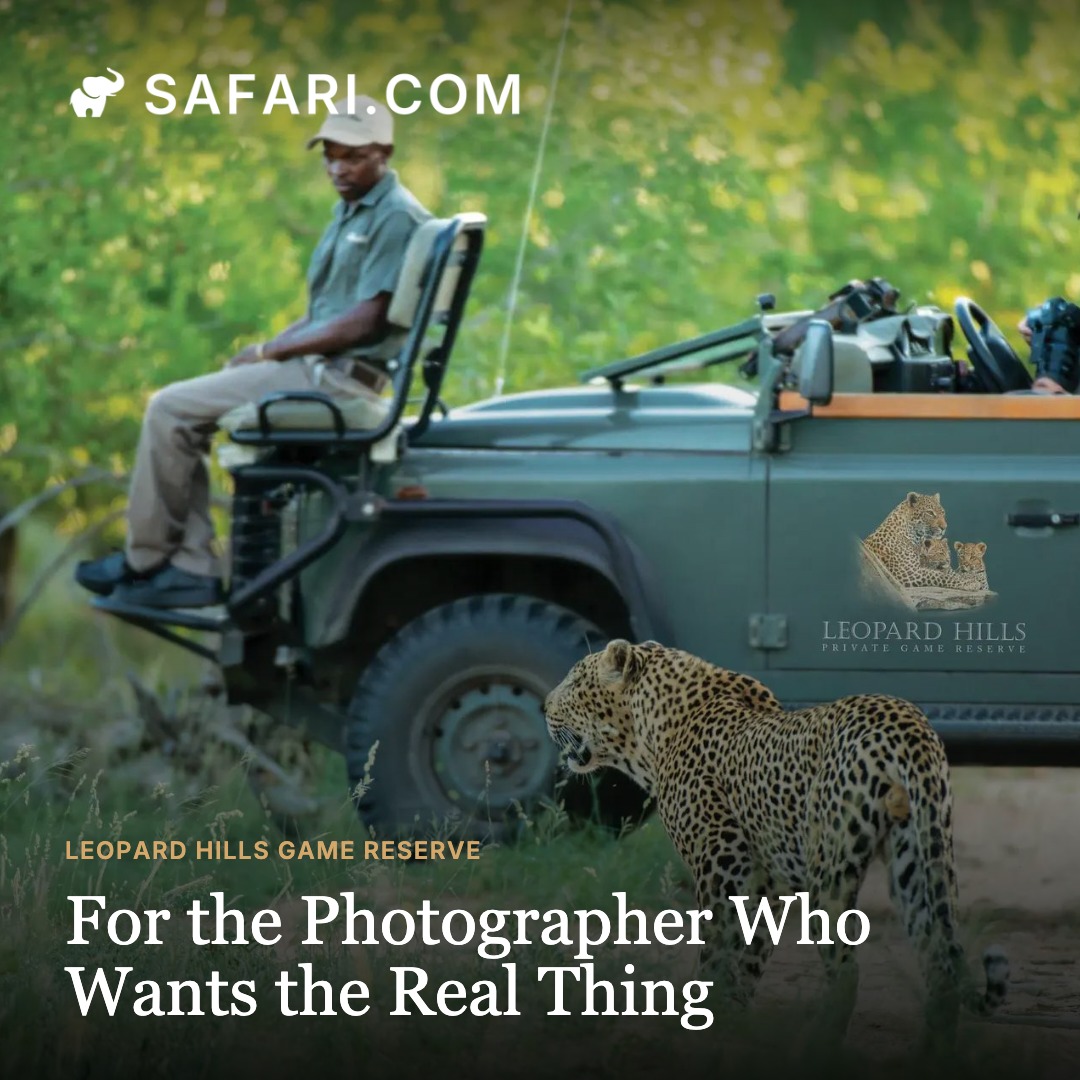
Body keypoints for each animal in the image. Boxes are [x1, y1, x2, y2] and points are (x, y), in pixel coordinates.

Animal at [543, 639, 1009, 1050]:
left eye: (574, 680)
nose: (543, 706)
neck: (649, 734)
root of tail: (905, 720)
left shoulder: (721, 865)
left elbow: (715, 955)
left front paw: (701, 1028)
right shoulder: (766, 885)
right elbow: (748, 960)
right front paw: (730, 1025)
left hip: (830, 873)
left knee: (848, 971)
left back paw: (817, 1048)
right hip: (918, 859)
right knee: (939, 964)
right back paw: (929, 1055)